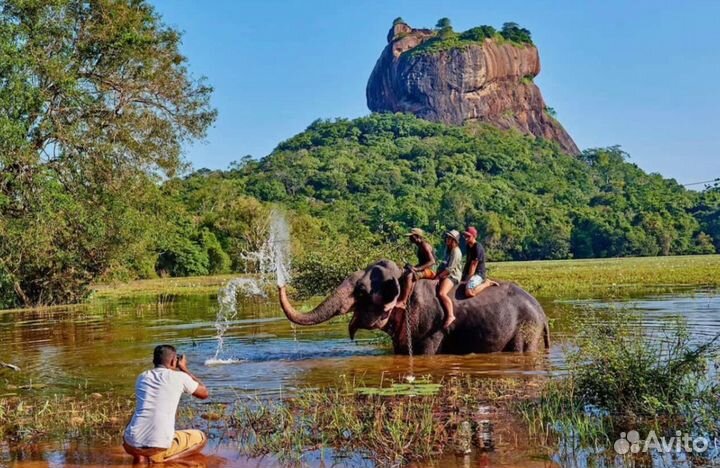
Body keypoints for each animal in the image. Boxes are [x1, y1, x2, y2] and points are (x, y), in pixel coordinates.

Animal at [278, 260, 548, 354]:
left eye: (361, 291)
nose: (280, 283)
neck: (404, 280)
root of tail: (543, 316)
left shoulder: (433, 326)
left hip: (525, 329)